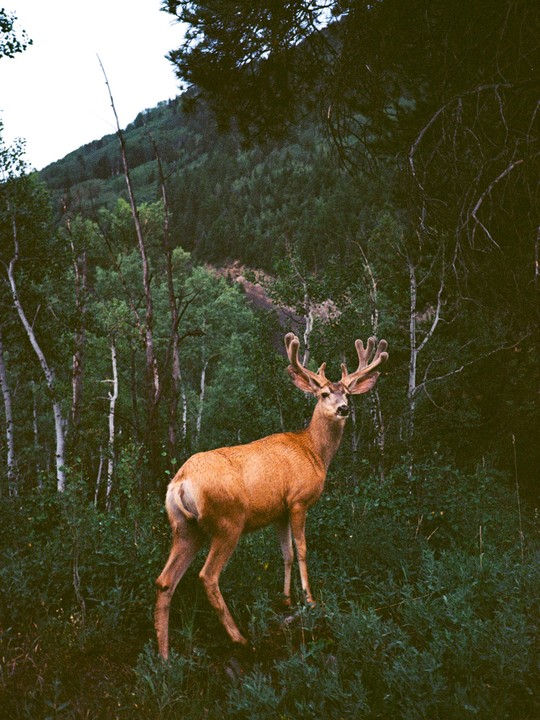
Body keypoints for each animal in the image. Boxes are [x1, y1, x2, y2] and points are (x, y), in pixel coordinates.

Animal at [155, 332, 388, 659]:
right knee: (207, 577)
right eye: (323, 394)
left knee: (165, 581)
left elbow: (286, 553)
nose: (344, 409)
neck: (314, 451)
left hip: (185, 528)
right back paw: (239, 639)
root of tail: (180, 483)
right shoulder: (299, 500)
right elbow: (302, 549)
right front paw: (310, 599)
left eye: (347, 393)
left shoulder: (279, 510)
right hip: (228, 523)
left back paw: (164, 657)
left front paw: (286, 598)